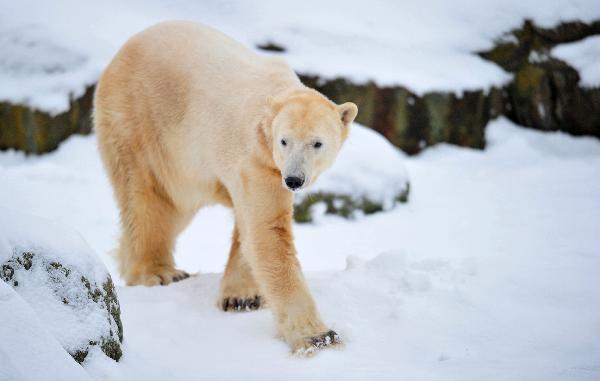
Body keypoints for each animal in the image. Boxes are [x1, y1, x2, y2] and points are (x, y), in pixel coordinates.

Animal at [94, 21, 356, 354]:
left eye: (317, 143)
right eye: (284, 141)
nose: (294, 180)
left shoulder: (260, 167)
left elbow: (249, 227)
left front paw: (242, 296)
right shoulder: (257, 160)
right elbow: (268, 230)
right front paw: (319, 336)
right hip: (141, 123)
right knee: (149, 198)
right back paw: (159, 272)